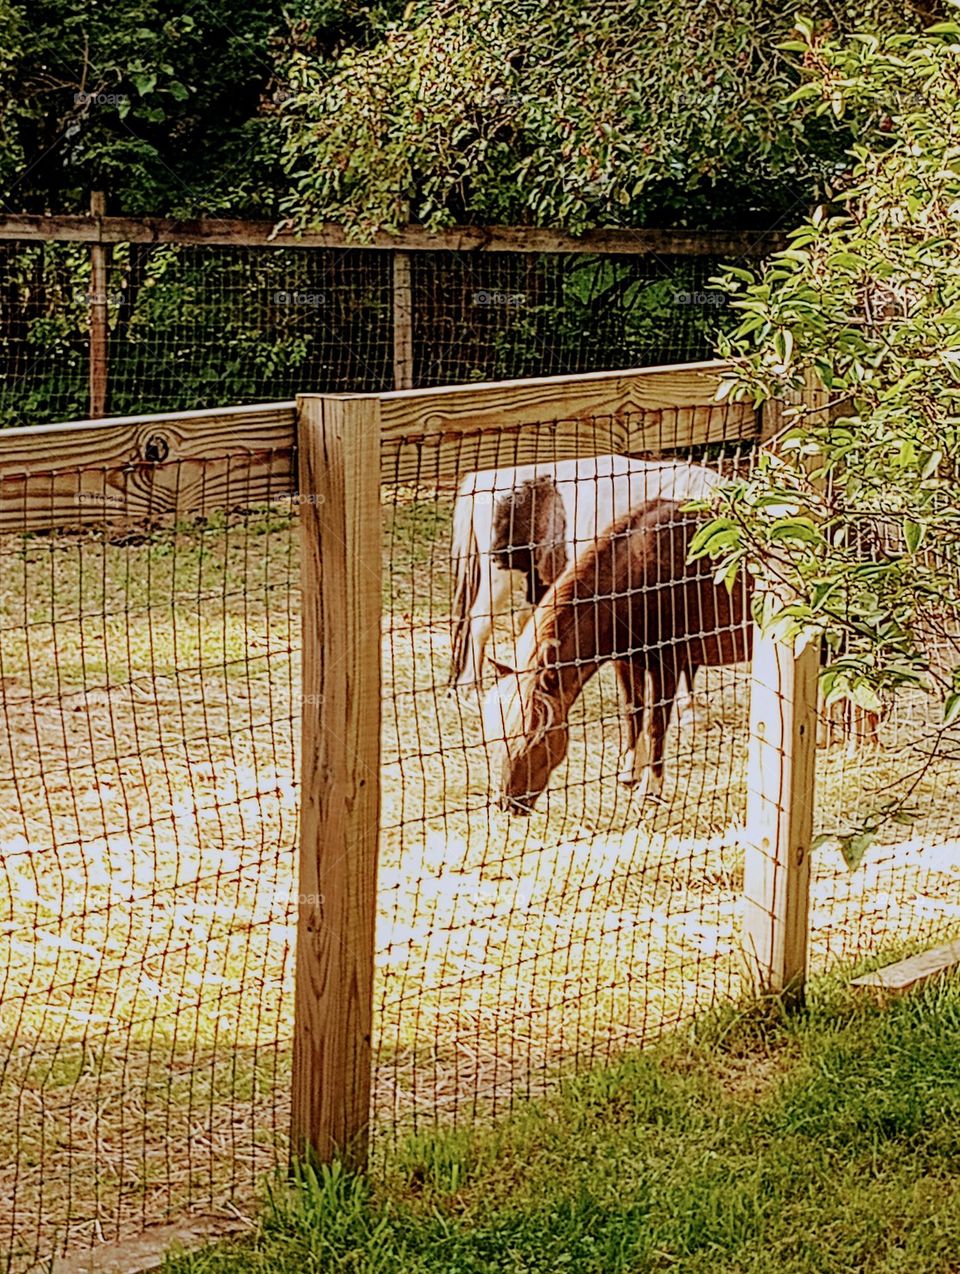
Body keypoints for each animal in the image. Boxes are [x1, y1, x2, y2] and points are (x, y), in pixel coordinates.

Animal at [481, 499, 753, 815]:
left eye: (539, 737)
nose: (507, 803)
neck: (638, 571)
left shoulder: (668, 663)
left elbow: (655, 725)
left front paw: (651, 788)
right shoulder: (625, 661)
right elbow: (632, 712)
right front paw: (629, 773)